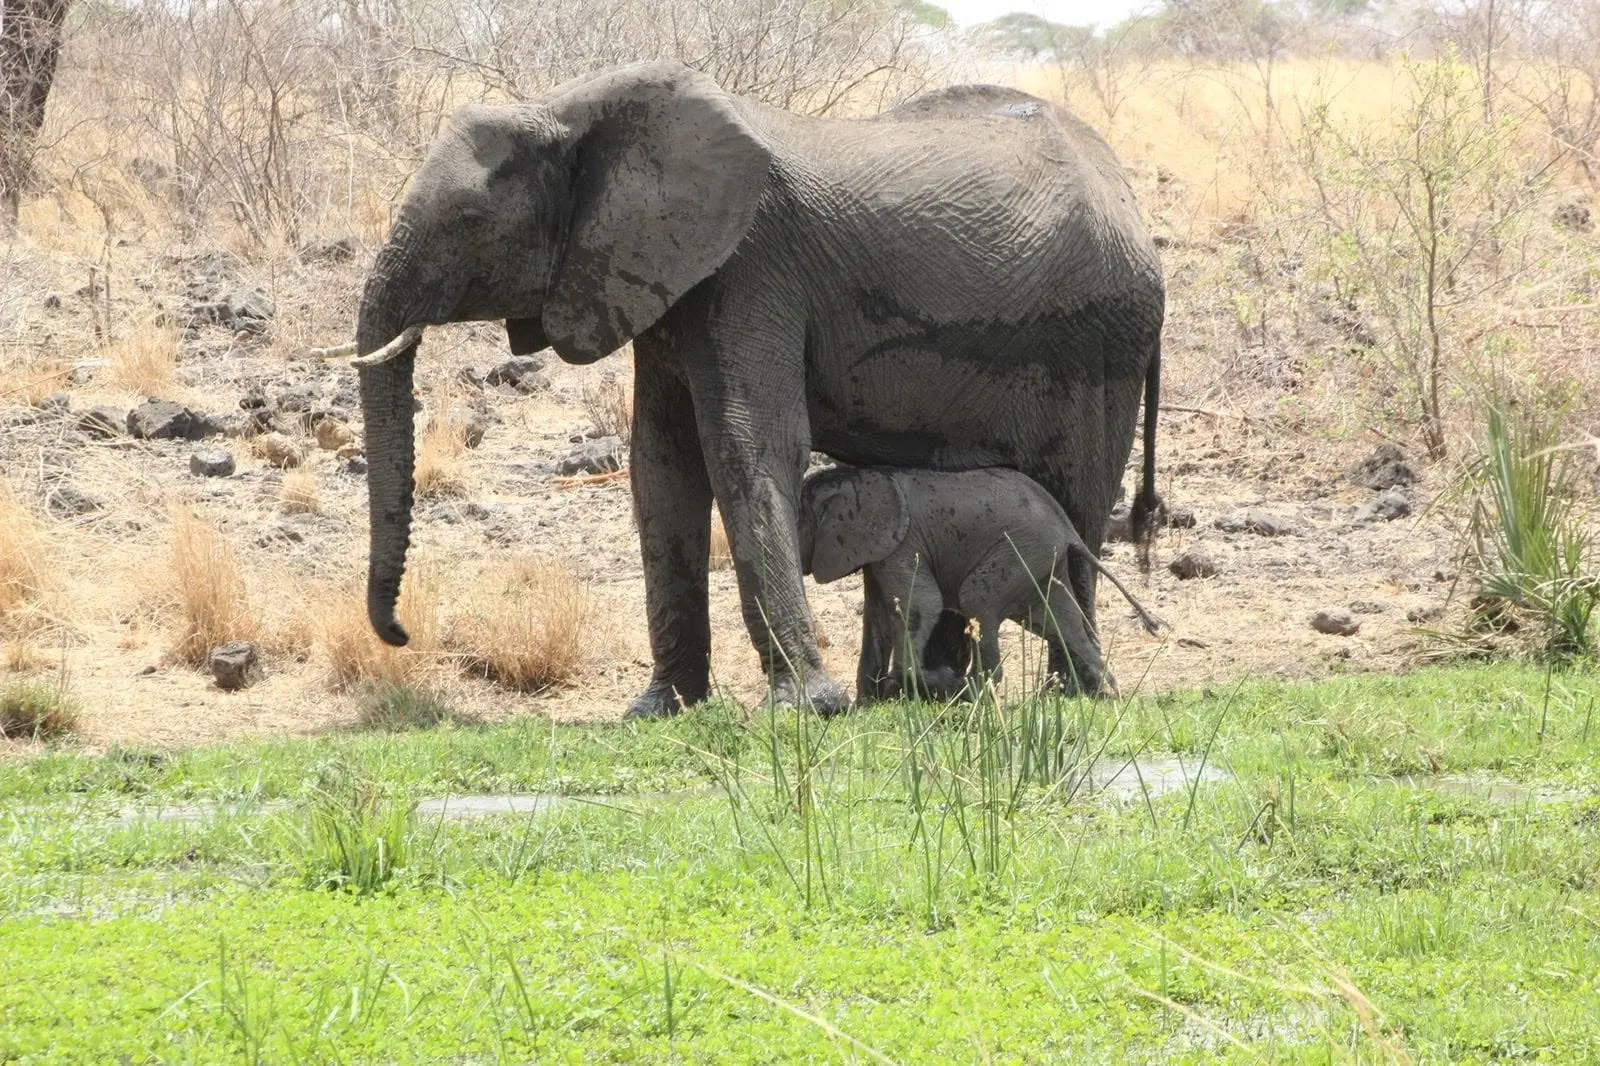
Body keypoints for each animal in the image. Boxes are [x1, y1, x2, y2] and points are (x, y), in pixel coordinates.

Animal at [798, 465, 1162, 701]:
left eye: (800, 520)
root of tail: (1067, 526)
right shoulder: (879, 550)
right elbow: (878, 615)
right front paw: (871, 699)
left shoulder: (902, 544)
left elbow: (920, 604)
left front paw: (914, 683)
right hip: (1042, 559)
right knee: (1058, 621)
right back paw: (1110, 691)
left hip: (1019, 550)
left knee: (976, 599)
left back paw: (972, 690)